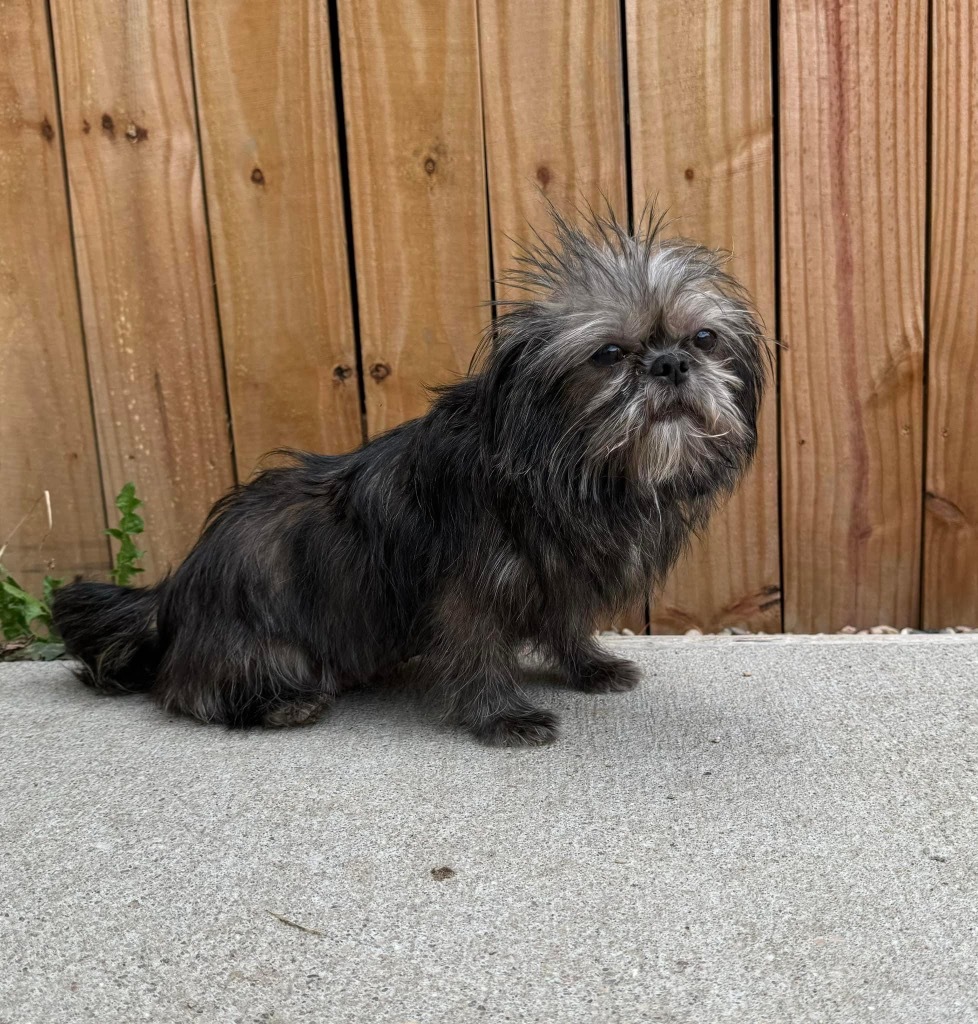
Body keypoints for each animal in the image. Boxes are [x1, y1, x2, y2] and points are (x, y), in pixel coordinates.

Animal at [55, 205, 774, 745]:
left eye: (704, 339)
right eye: (608, 354)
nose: (671, 365)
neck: (573, 467)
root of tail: (169, 595)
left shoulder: (562, 579)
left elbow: (567, 628)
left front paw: (589, 667)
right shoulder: (467, 593)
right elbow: (479, 654)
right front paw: (502, 716)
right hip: (265, 646)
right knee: (189, 690)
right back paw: (278, 704)